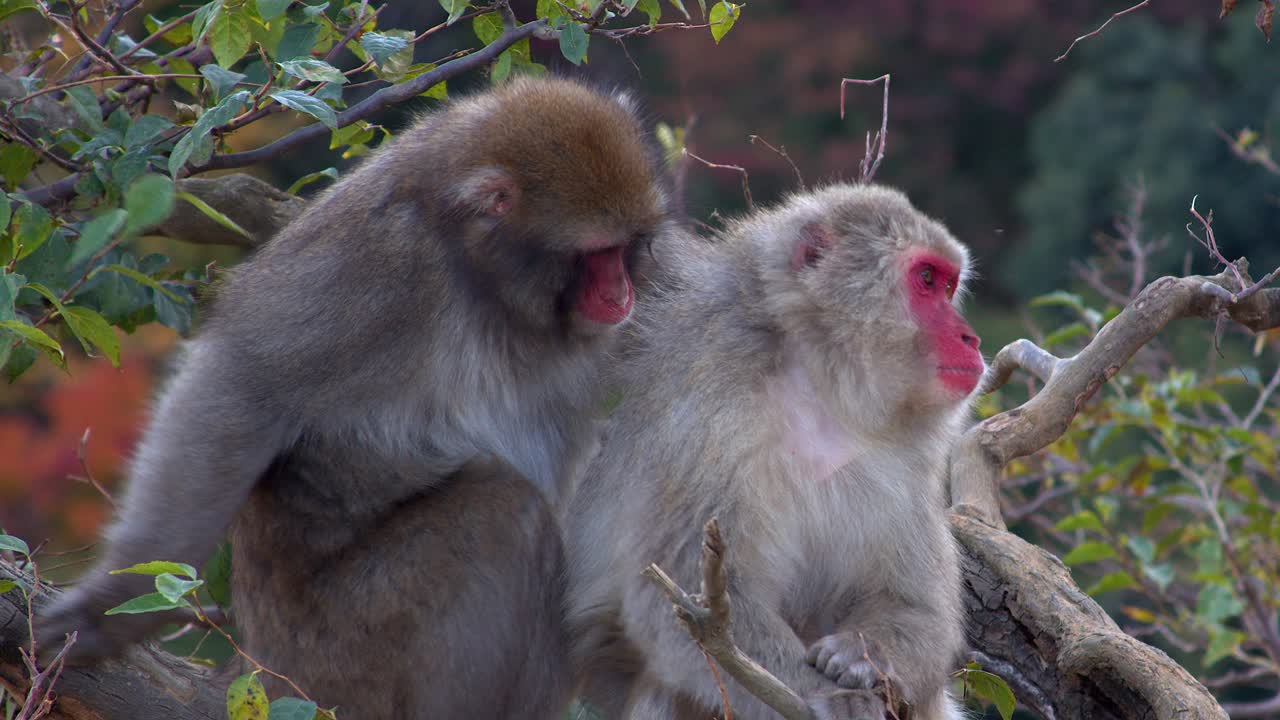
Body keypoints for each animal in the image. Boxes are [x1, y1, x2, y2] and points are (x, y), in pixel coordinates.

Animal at [37, 76, 674, 719]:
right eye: (596, 255)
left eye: (630, 247)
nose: (622, 296)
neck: (481, 275)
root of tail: (262, 665)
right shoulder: (381, 261)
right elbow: (241, 381)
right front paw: (109, 607)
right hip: (342, 657)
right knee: (501, 510)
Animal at [564, 183, 983, 720]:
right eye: (926, 279)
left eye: (948, 286)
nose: (971, 338)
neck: (819, 386)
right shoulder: (709, 416)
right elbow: (679, 606)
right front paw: (832, 696)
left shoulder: (906, 461)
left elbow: (917, 607)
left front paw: (863, 654)